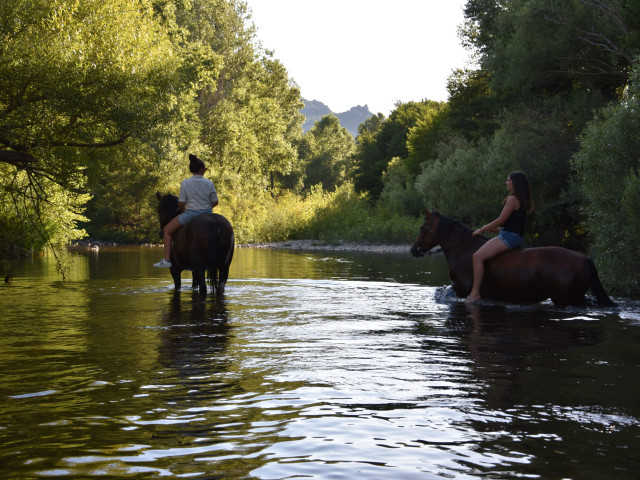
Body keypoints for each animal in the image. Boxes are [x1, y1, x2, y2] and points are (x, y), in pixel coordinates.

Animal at [410, 209, 615, 307]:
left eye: (422, 228)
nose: (413, 250)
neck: (463, 249)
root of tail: (585, 259)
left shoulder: (463, 288)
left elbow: (449, 291)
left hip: (565, 299)